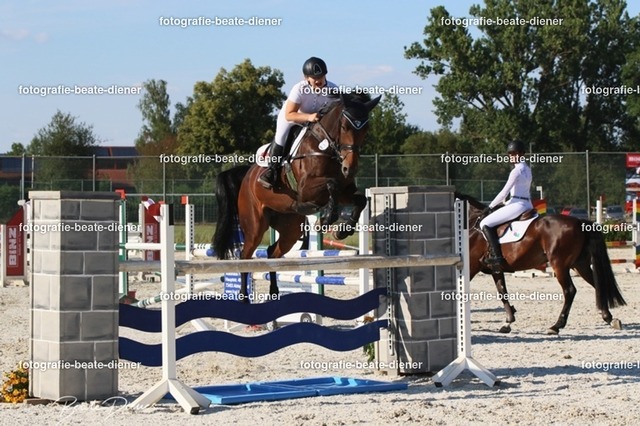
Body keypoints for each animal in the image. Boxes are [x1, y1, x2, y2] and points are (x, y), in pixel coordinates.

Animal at [213, 92, 381, 301]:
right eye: (344, 127)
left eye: (365, 129)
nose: (349, 168)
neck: (325, 148)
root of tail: (247, 175)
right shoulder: (306, 189)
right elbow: (331, 184)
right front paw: (327, 218)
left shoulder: (345, 192)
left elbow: (360, 199)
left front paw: (343, 230)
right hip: (255, 226)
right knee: (244, 257)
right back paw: (244, 298)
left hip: (290, 227)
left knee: (272, 253)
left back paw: (274, 292)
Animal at [455, 192, 626, 334]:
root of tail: (578, 221)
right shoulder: (496, 270)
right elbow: (502, 292)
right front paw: (508, 323)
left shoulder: (471, 267)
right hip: (580, 265)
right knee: (597, 285)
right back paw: (610, 319)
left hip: (560, 265)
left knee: (570, 291)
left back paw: (556, 326)